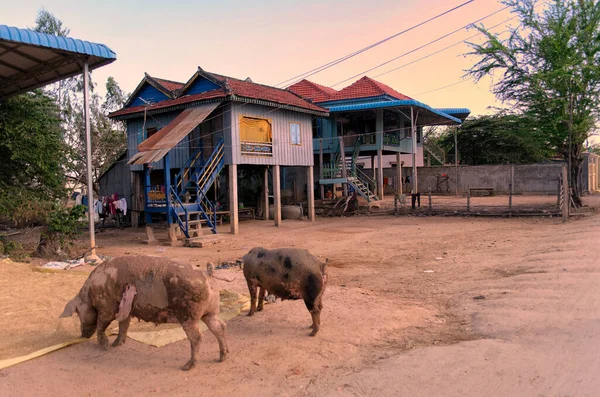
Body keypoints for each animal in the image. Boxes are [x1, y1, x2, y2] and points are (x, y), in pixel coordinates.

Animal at [59, 255, 227, 370]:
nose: (82, 335)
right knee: (219, 327)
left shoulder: (106, 307)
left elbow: (102, 325)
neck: (90, 293)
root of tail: (207, 274)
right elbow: (123, 325)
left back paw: (187, 366)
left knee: (197, 337)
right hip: (211, 312)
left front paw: (105, 347)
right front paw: (115, 345)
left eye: (78, 314)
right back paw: (222, 358)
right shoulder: (125, 309)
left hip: (189, 315)